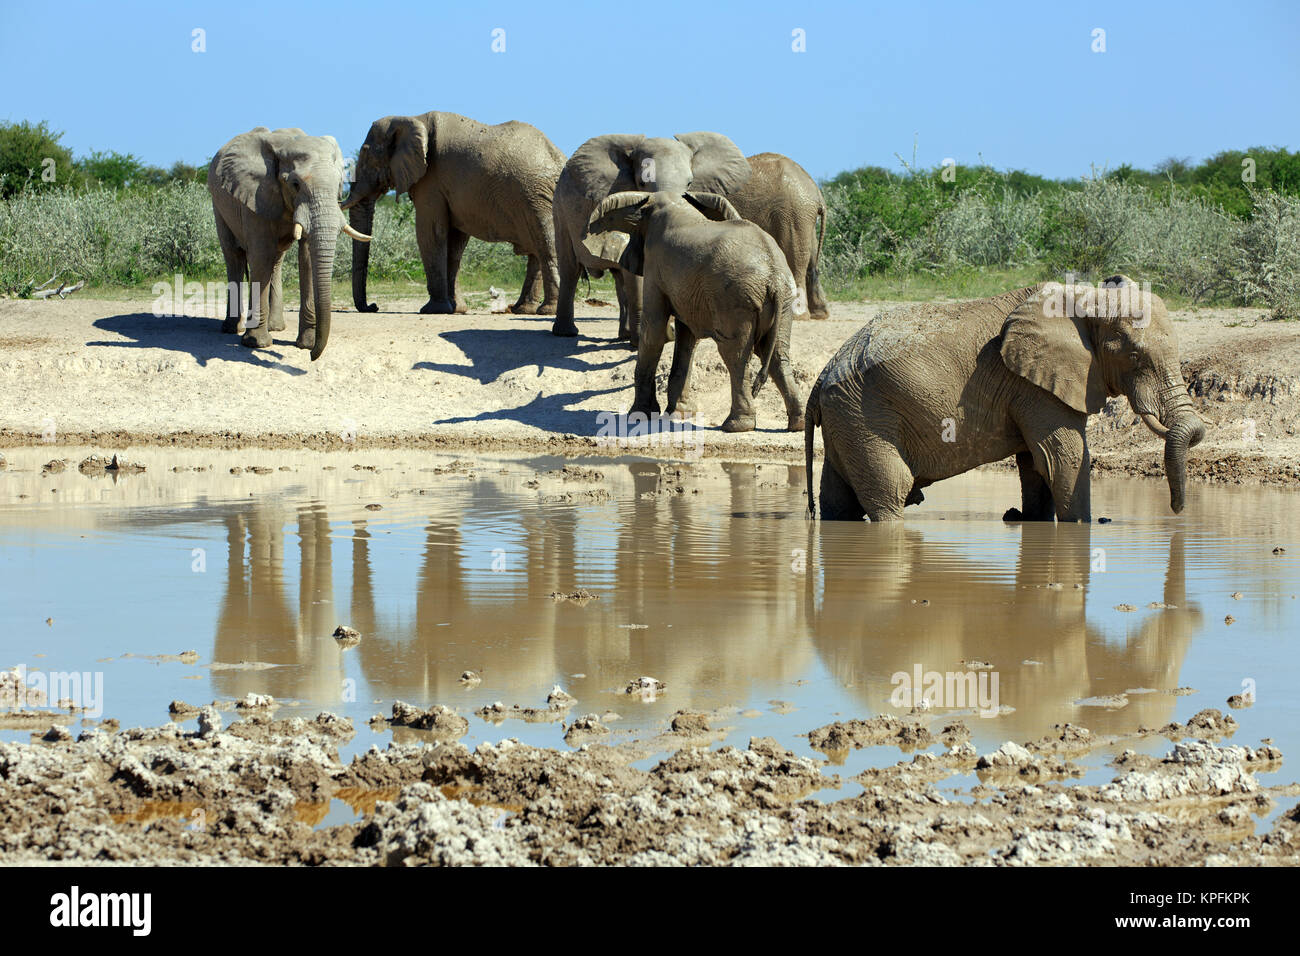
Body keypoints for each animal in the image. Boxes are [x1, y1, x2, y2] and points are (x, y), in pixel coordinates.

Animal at [206, 128, 371, 361]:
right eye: (295, 185)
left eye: (340, 185)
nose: (312, 356)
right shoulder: (256, 195)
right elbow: (260, 255)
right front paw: (257, 344)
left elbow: (307, 257)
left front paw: (305, 344)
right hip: (218, 204)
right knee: (234, 256)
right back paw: (232, 329)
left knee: (276, 260)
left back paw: (276, 327)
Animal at [343, 111, 566, 314]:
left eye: (366, 154)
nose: (373, 306)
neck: (412, 118)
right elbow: (455, 243)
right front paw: (456, 309)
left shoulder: (431, 179)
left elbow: (431, 232)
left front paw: (433, 310)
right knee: (537, 251)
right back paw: (524, 310)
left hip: (535, 197)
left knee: (547, 246)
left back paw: (546, 311)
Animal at [585, 187, 806, 434]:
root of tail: (772, 275)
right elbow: (687, 338)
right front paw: (679, 414)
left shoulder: (655, 266)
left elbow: (654, 332)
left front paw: (640, 416)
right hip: (784, 301)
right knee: (776, 354)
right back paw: (797, 423)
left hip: (736, 300)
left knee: (735, 355)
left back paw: (736, 426)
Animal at [800, 273, 1206, 528]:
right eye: (1134, 356)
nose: (1176, 510)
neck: (1085, 298)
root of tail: (820, 381)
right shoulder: (1035, 386)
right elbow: (1064, 459)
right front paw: (1081, 528)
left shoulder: (1033, 386)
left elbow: (1037, 464)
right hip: (865, 415)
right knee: (890, 491)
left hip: (846, 419)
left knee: (839, 501)